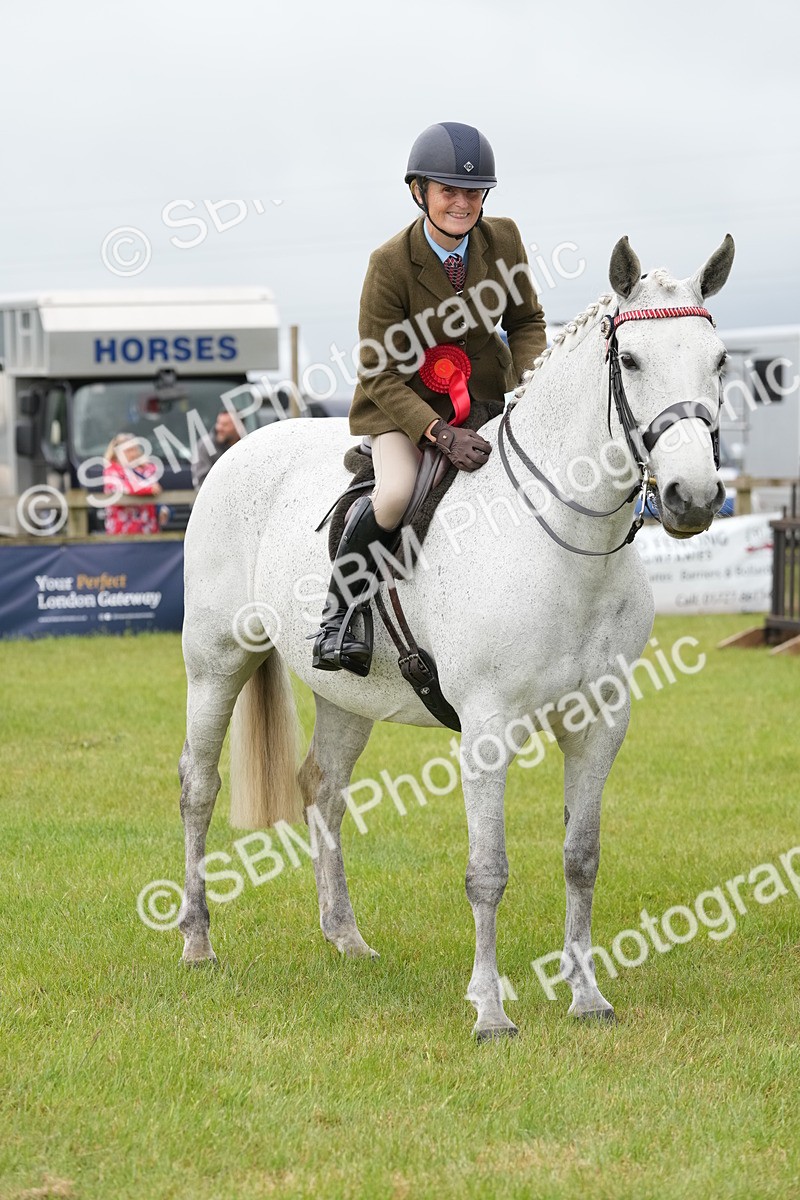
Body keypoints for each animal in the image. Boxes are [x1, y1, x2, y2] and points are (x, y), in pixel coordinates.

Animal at [177, 234, 734, 1040]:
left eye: (720, 360)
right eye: (630, 361)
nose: (693, 498)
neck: (566, 542)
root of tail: (242, 446)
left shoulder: (601, 721)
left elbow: (581, 857)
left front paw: (586, 996)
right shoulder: (488, 727)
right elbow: (488, 870)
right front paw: (490, 1009)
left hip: (345, 691)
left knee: (324, 788)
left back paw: (345, 936)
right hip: (216, 661)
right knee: (199, 787)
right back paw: (196, 941)